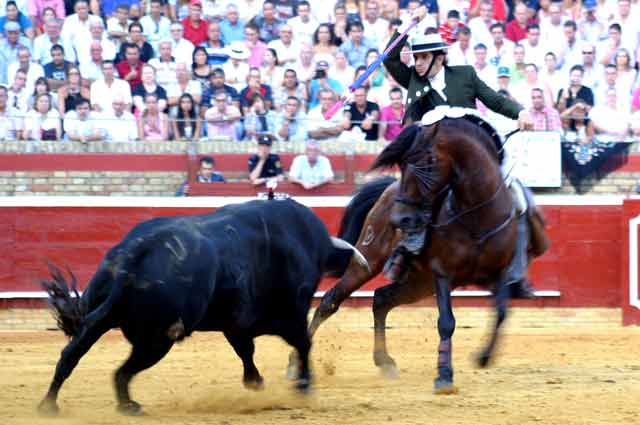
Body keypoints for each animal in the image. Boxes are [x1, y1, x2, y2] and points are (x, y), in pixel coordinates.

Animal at [38, 199, 370, 414]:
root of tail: (134, 256)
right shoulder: (288, 315)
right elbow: (302, 344)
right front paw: (303, 385)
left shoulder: (236, 322)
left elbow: (246, 350)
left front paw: (255, 382)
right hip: (158, 338)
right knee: (121, 372)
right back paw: (128, 405)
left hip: (102, 318)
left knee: (71, 356)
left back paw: (50, 405)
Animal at [292, 117, 548, 392]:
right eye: (402, 165)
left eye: (428, 162)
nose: (400, 220)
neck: (477, 215)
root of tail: (388, 190)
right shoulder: (442, 273)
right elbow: (446, 322)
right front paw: (444, 375)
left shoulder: (498, 272)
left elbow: (501, 313)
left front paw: (483, 357)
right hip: (369, 260)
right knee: (331, 299)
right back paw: (296, 365)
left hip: (419, 282)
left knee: (381, 299)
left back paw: (384, 360)